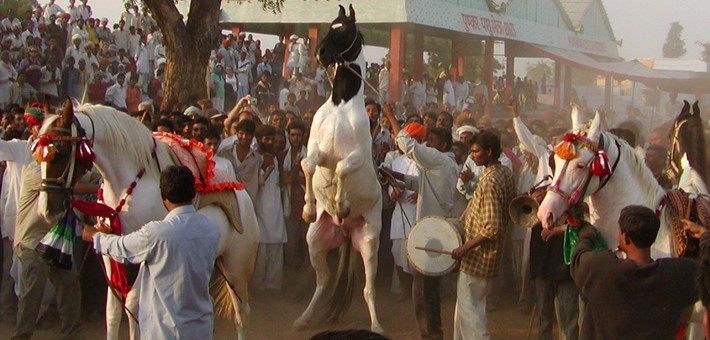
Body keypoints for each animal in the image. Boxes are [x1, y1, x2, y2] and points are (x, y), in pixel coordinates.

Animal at [37, 101, 260, 340]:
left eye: (60, 152)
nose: (47, 210)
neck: (125, 185)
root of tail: (246, 199)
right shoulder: (110, 249)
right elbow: (114, 309)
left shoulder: (146, 249)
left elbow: (133, 303)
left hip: (236, 266)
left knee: (241, 313)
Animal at [294, 4, 384, 332]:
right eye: (329, 25)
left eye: (344, 30)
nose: (320, 53)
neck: (340, 106)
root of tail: (345, 234)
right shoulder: (318, 151)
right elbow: (307, 164)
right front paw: (309, 208)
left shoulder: (356, 155)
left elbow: (344, 169)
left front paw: (341, 203)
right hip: (315, 241)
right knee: (324, 281)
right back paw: (304, 319)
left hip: (369, 242)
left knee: (368, 288)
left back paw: (377, 325)